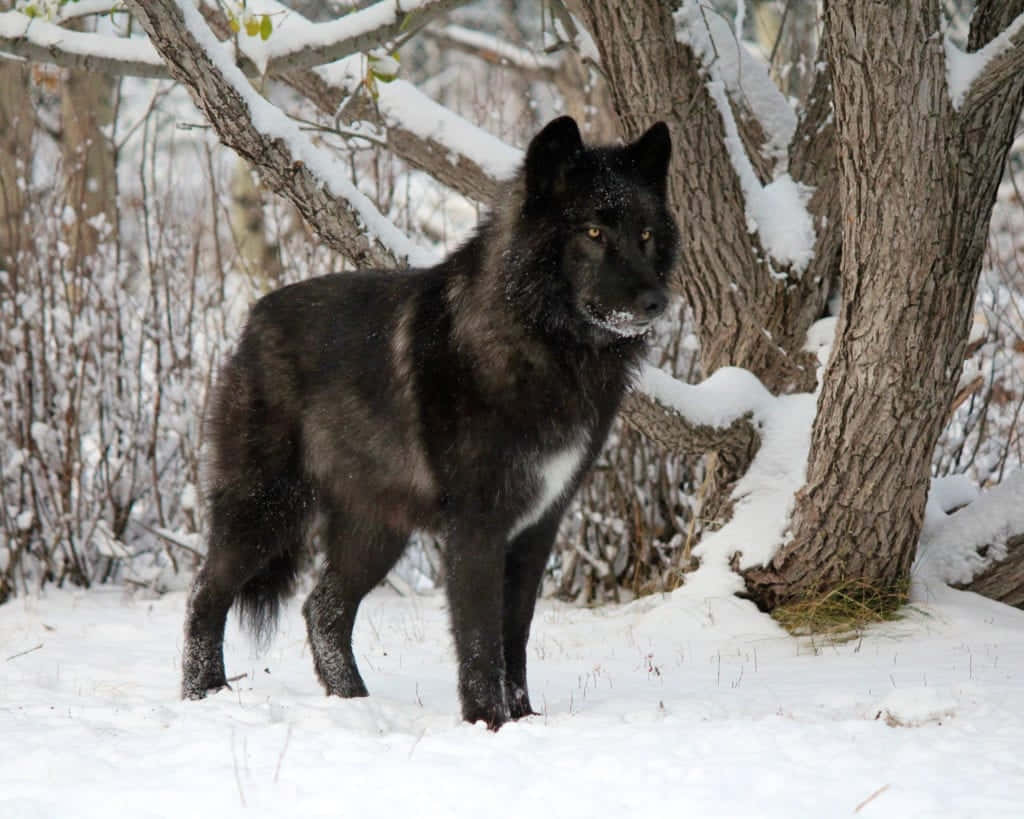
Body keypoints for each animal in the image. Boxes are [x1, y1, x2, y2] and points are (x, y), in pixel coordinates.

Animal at [184, 116, 679, 728]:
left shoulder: (537, 528)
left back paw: (354, 704)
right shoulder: (477, 527)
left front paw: (523, 720)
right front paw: (488, 722)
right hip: (266, 511)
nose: (657, 302)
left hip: (375, 532)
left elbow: (514, 636)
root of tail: (252, 320)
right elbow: (480, 641)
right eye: (592, 232)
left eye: (645, 235)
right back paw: (204, 694)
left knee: (323, 608)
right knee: (207, 593)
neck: (543, 346)